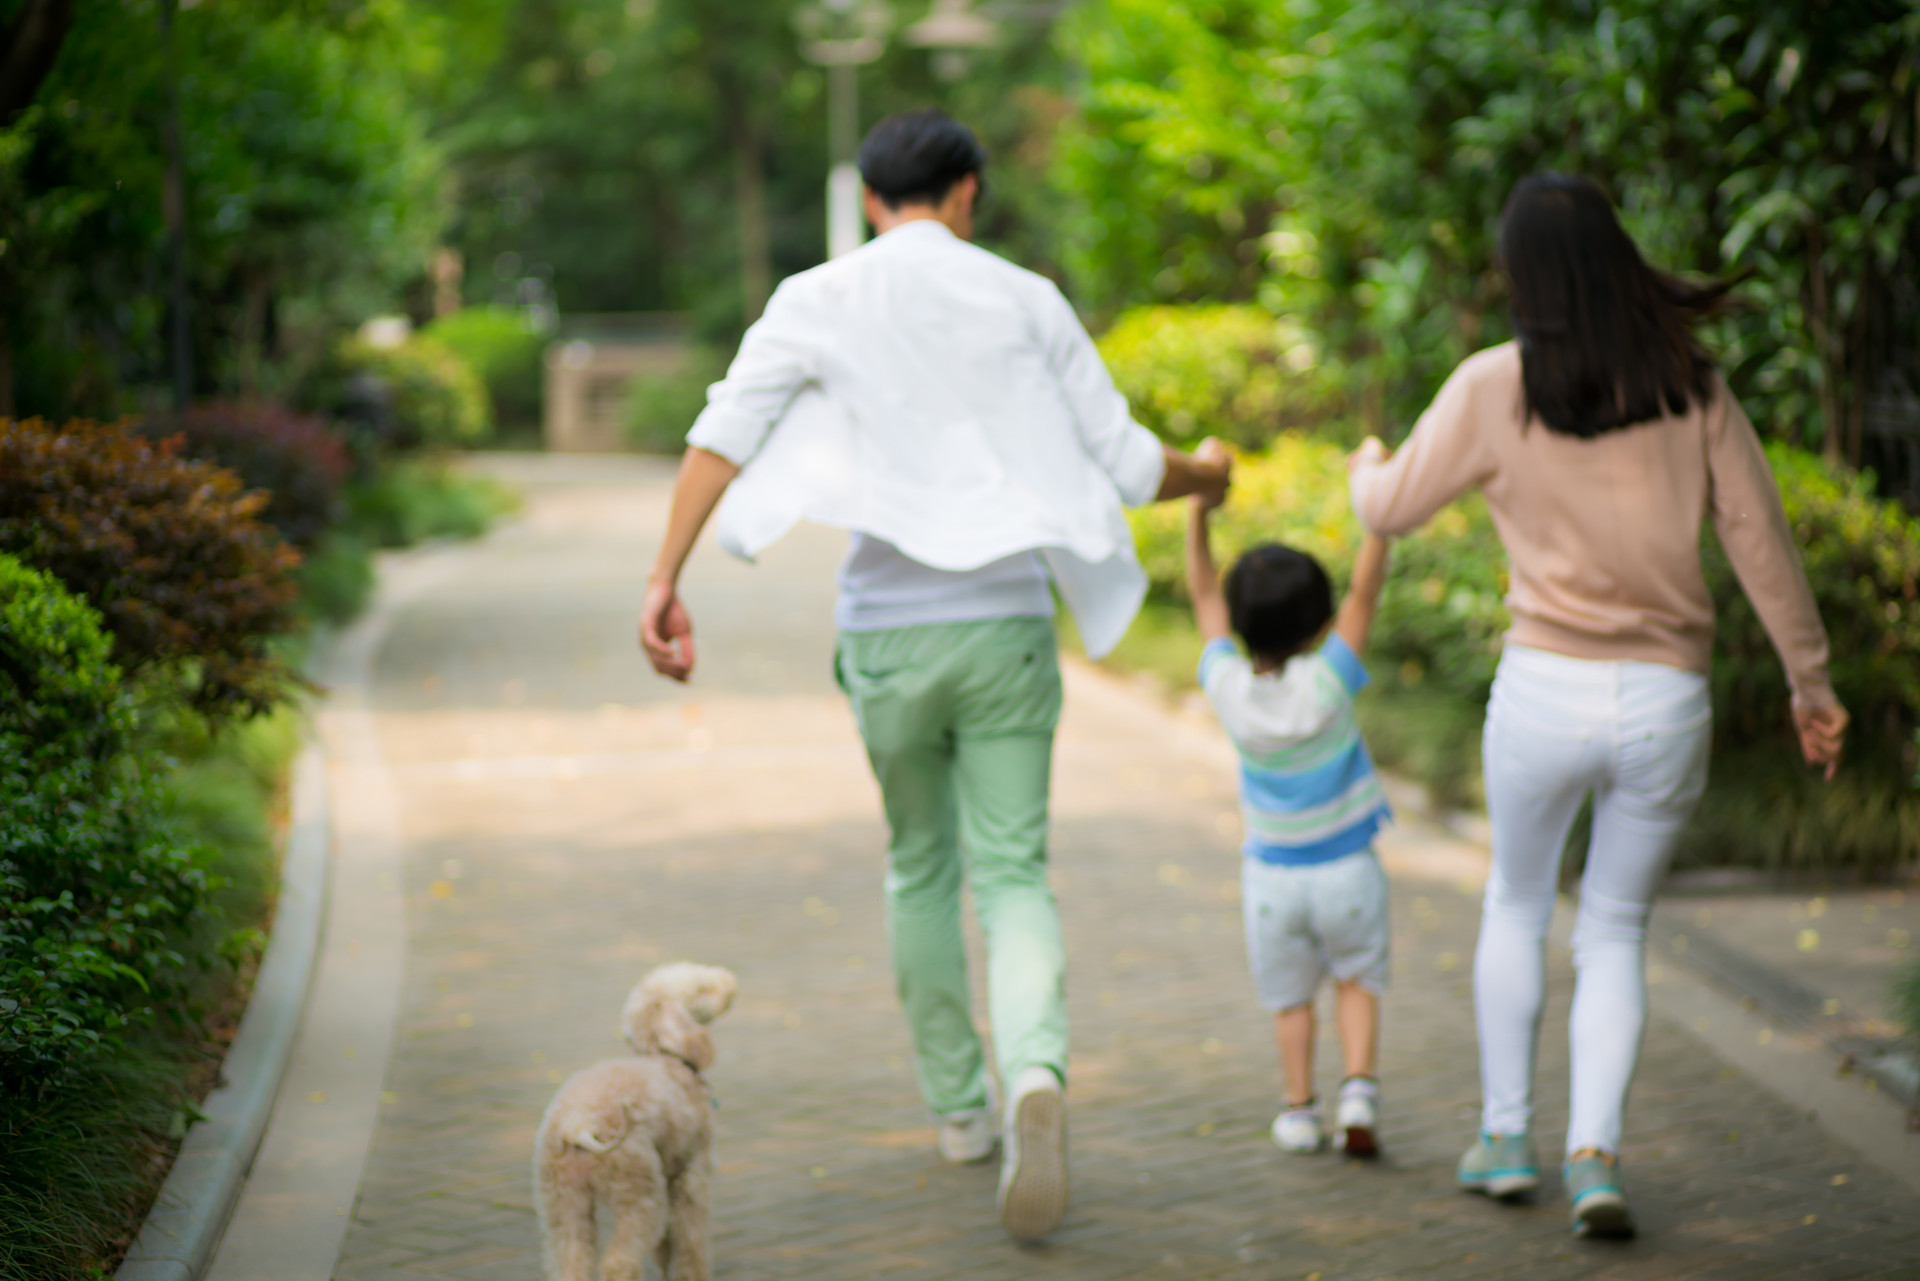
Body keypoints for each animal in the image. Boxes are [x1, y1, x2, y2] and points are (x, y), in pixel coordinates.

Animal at [537, 960, 737, 1281]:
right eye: (700, 988)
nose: (732, 983)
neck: (669, 1061)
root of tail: (577, 1125)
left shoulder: (669, 1175)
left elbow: (665, 1248)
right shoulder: (690, 1178)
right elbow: (691, 1245)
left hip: (562, 1201)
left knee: (571, 1260)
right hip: (639, 1194)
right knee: (618, 1262)